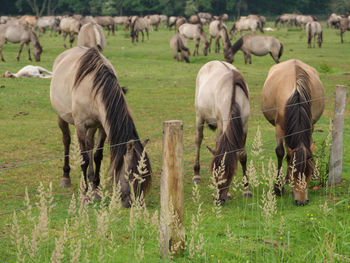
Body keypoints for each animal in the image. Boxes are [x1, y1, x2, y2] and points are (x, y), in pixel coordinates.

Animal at [49, 47, 152, 208]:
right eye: (129, 174)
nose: (131, 202)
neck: (92, 88)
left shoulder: (103, 126)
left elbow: (97, 155)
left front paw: (96, 189)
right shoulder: (80, 126)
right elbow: (84, 158)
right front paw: (85, 193)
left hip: (93, 126)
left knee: (90, 144)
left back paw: (91, 179)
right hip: (62, 117)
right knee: (66, 140)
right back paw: (66, 177)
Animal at [262, 59, 324, 206]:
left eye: (308, 173)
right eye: (293, 172)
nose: (302, 202)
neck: (296, 93)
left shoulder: (310, 126)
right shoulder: (279, 127)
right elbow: (280, 152)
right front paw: (278, 188)